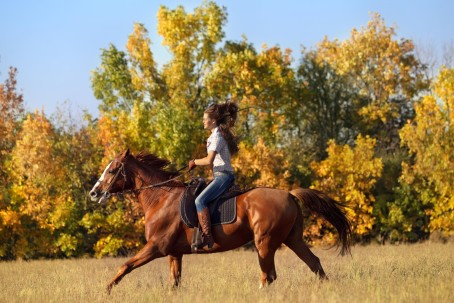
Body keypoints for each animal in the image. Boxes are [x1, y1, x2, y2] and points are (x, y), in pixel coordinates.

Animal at [88, 150, 352, 294]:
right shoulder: (174, 253)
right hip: (292, 239)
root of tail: (289, 194)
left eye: (112, 170)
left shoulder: (156, 248)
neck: (160, 198)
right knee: (313, 263)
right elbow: (175, 282)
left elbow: (125, 266)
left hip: (265, 243)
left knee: (268, 275)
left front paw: (106, 290)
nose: (94, 193)